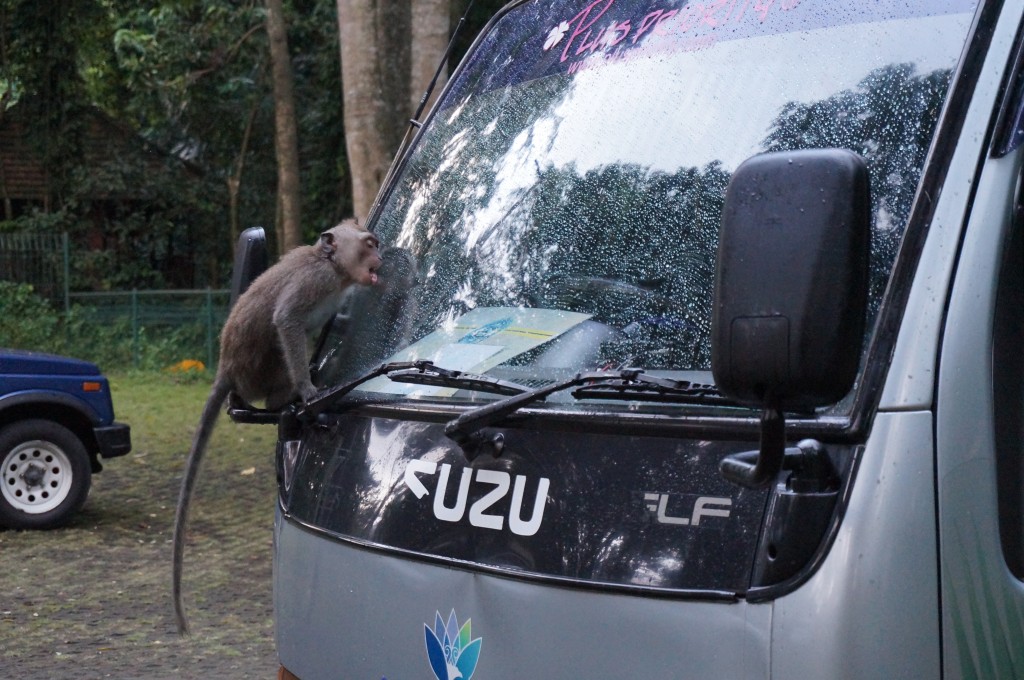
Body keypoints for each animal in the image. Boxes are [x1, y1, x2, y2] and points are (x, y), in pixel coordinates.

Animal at [172, 220, 380, 634]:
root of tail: (227, 367)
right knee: (278, 351)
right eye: (369, 243)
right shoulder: (313, 282)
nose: (380, 257)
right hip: (257, 371)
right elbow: (287, 320)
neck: (333, 268)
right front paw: (308, 388)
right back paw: (287, 399)